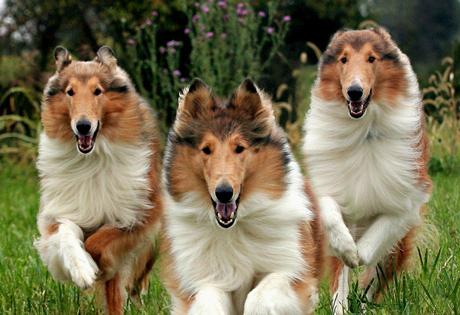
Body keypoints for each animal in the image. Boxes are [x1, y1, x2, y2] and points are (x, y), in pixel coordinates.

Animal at [32, 45, 162, 314]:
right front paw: (82, 271)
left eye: (98, 91)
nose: (83, 126)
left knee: (136, 277)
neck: (93, 158)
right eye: (70, 92)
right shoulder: (62, 211)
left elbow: (97, 243)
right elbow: (66, 233)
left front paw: (96, 265)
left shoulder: (139, 215)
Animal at [161, 78, 324, 314]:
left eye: (239, 148)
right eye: (206, 149)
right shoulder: (204, 280)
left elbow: (260, 296)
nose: (224, 193)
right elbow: (210, 302)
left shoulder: (291, 269)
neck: (233, 228)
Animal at [302, 28, 432, 314]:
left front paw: (357, 253)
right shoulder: (333, 188)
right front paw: (347, 249)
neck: (363, 130)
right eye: (343, 59)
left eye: (372, 58)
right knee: (340, 285)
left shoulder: (406, 202)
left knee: (371, 283)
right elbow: (331, 218)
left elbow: (372, 244)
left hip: (396, 248)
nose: (354, 92)